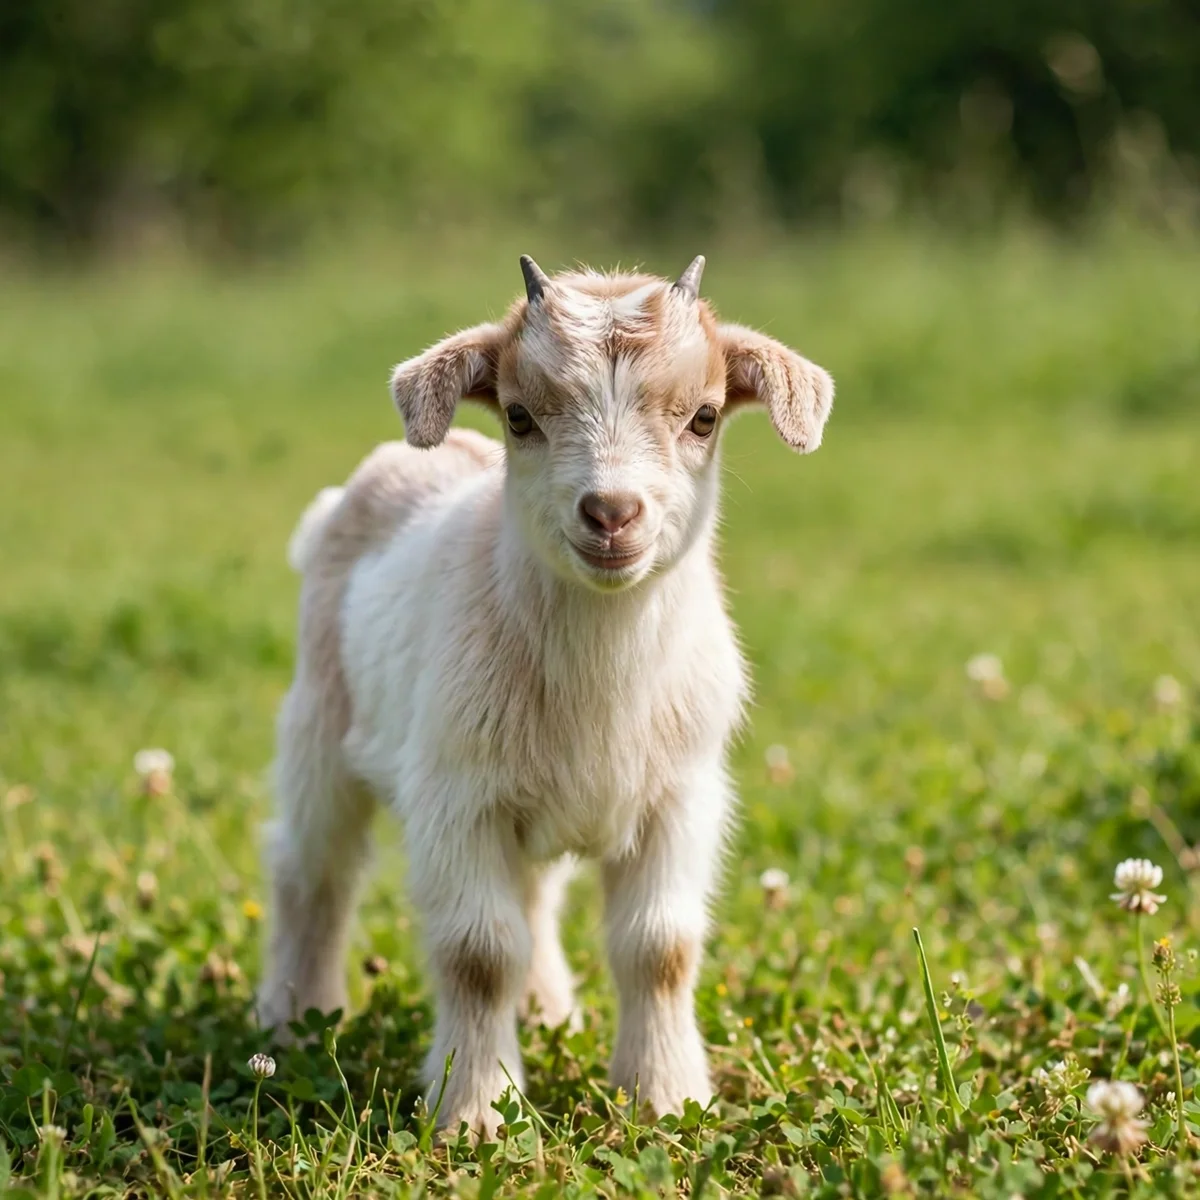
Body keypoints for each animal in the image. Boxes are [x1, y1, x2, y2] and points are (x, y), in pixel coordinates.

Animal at [257, 254, 834, 1137]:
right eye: (521, 416)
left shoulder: (680, 795)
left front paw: (667, 1098)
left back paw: (547, 1012)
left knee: (533, 896)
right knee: (312, 869)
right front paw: (473, 1113)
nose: (611, 513)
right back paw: (294, 1018)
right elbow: (478, 954)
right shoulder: (456, 796)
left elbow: (660, 947)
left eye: (704, 417)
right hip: (320, 724)